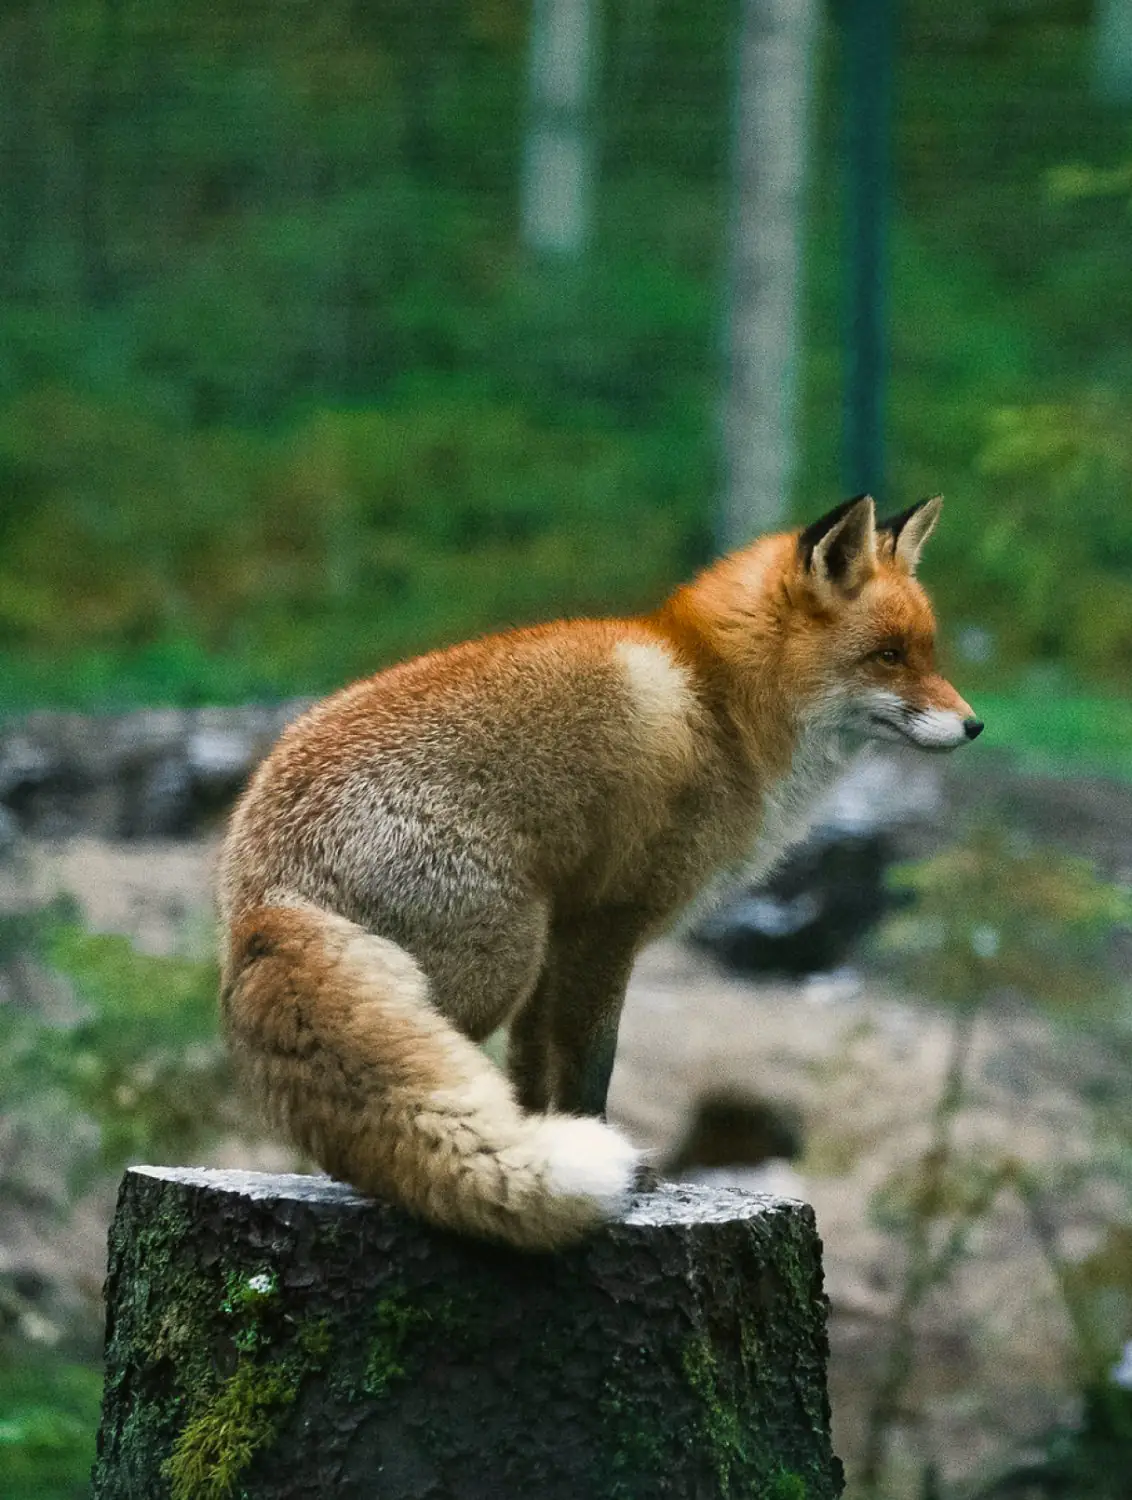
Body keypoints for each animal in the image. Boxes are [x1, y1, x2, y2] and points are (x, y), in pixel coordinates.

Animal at [217, 498, 977, 1248]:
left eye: (928, 652)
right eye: (887, 656)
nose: (974, 727)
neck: (721, 703)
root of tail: (266, 891)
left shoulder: (566, 929)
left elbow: (531, 1071)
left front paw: (542, 1132)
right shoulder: (612, 921)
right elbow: (591, 1061)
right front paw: (621, 1165)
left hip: (511, 956)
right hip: (495, 965)